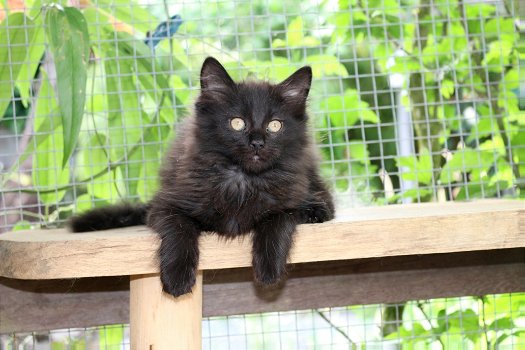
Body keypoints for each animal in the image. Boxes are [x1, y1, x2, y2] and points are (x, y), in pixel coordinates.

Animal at [69, 56, 334, 296]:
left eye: (275, 125)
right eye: (237, 123)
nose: (257, 143)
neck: (242, 180)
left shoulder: (290, 201)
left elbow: (276, 222)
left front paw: (269, 271)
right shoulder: (168, 204)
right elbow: (179, 228)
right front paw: (177, 277)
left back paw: (317, 209)